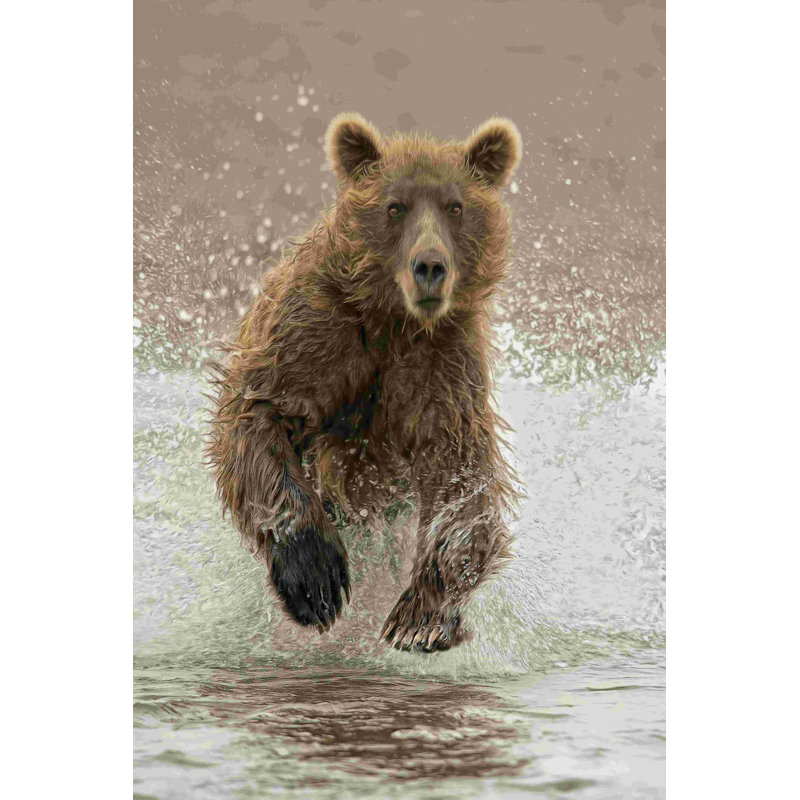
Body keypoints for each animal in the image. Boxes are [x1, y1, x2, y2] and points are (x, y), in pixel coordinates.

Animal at [207, 112, 522, 653]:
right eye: (394, 206)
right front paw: (315, 578)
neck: (393, 321)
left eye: (456, 206)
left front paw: (420, 619)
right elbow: (259, 415)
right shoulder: (316, 333)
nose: (429, 266)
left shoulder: (443, 367)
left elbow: (462, 478)